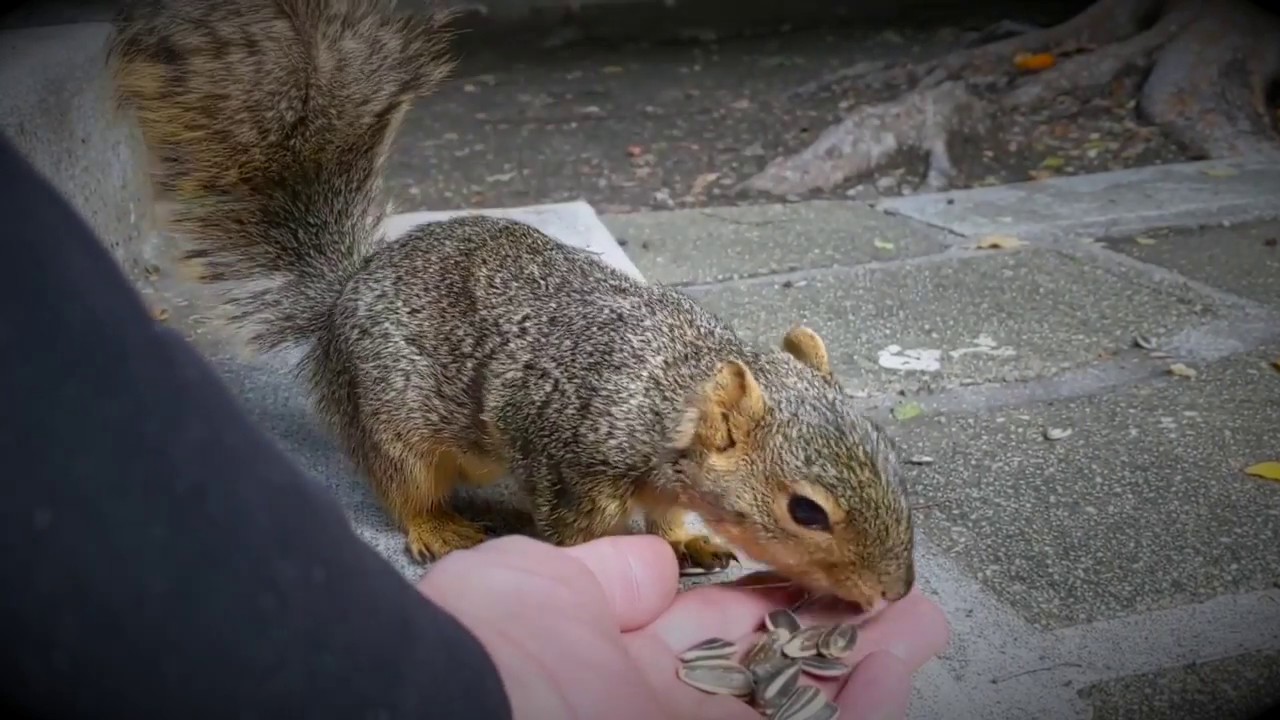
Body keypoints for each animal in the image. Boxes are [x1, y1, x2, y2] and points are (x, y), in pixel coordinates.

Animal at [106, 0, 916, 608]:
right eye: (806, 511)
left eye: (888, 457)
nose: (894, 594)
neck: (669, 387)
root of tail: (347, 290)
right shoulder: (572, 462)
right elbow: (582, 532)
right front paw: (620, 558)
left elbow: (667, 512)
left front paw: (686, 537)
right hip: (390, 420)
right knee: (404, 486)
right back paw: (439, 528)